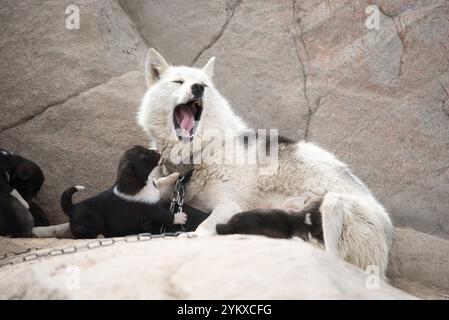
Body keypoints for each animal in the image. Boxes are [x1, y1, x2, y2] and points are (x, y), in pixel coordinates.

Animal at [60, 146, 191, 239]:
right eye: (144, 155)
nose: (157, 149)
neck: (141, 183)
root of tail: (72, 207)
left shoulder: (155, 190)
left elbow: (160, 182)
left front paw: (174, 176)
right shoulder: (150, 210)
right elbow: (166, 215)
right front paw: (180, 217)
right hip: (90, 221)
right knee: (82, 234)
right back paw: (99, 236)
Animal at [136, 48, 392, 278]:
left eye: (204, 85)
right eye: (178, 82)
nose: (197, 88)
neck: (204, 151)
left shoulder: (231, 205)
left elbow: (206, 224)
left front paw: (195, 234)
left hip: (333, 203)